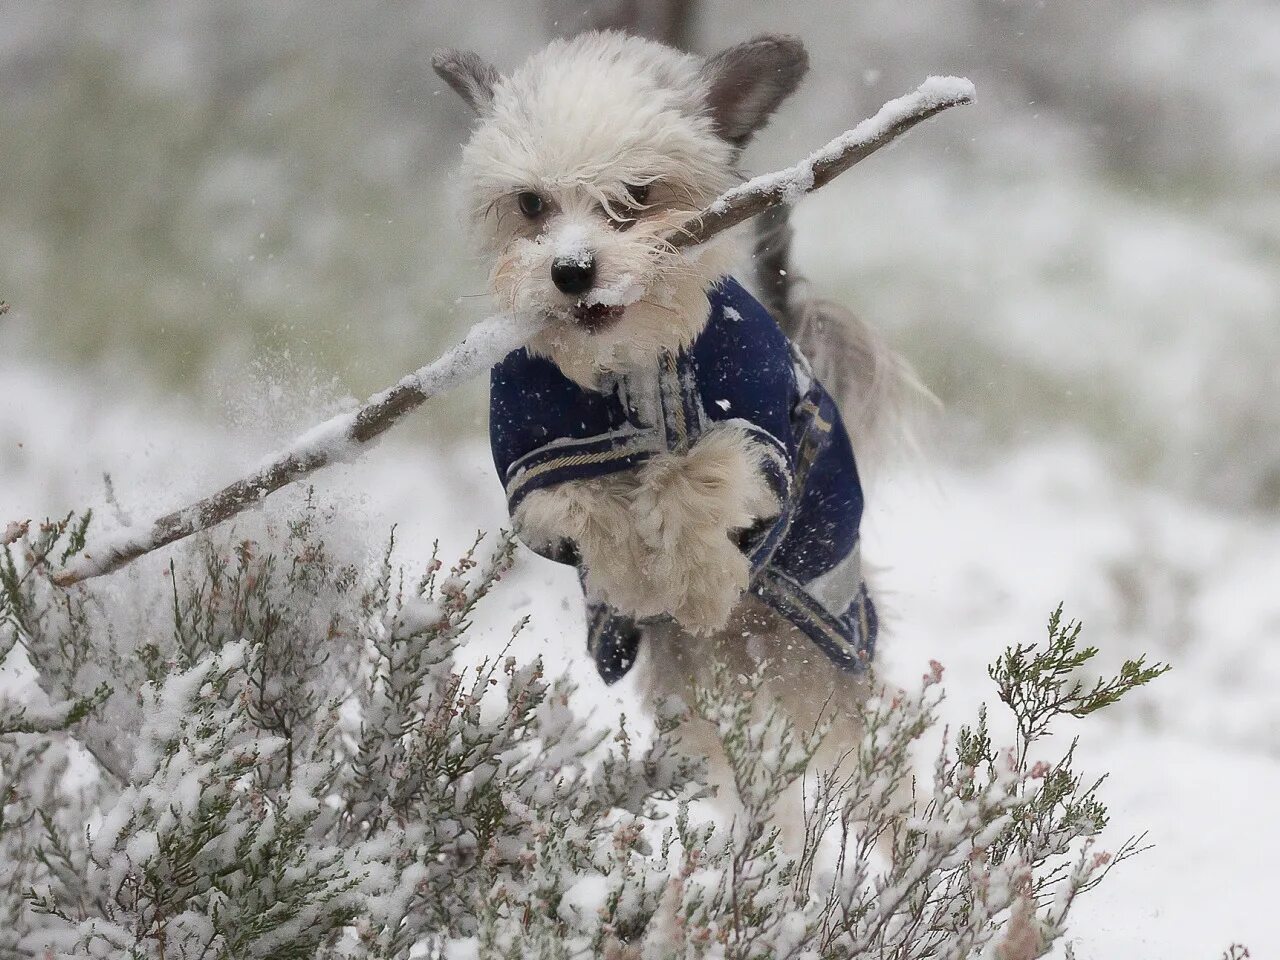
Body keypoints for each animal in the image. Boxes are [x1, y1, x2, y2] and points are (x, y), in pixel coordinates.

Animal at [435, 32, 916, 834]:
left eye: (636, 195)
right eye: (532, 203)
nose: (572, 270)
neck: (630, 364)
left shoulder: (763, 434)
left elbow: (695, 472)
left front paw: (694, 577)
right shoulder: (535, 463)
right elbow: (588, 500)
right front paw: (637, 570)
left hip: (822, 662)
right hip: (700, 702)